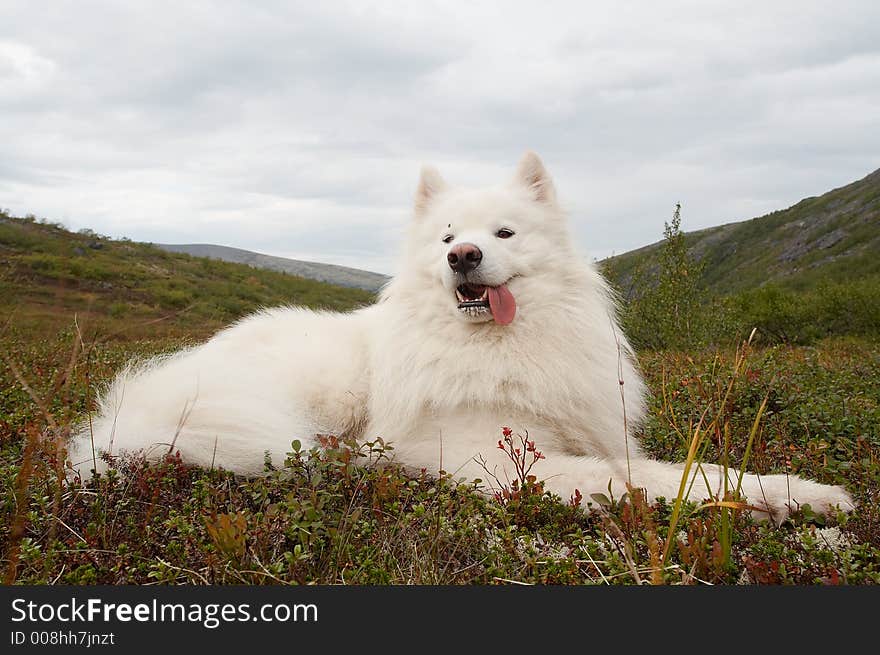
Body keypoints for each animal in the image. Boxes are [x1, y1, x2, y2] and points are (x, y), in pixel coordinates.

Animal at [69, 150, 852, 524]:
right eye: (447, 236)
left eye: (503, 233)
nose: (463, 257)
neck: (504, 348)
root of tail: (138, 404)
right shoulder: (495, 459)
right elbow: (635, 481)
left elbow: (697, 472)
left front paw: (800, 494)